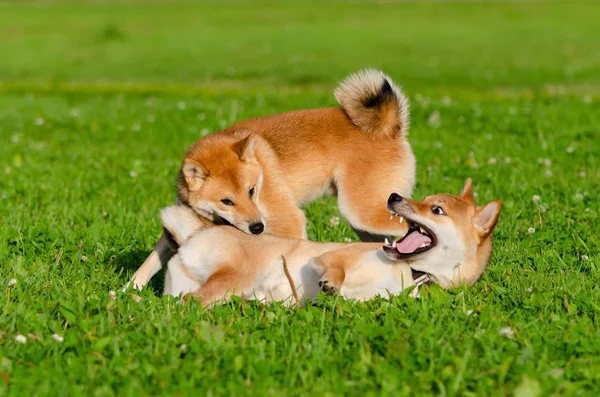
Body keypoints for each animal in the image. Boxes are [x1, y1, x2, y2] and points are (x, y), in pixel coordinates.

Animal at [130, 69, 418, 290]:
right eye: (226, 201)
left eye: (251, 190)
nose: (258, 227)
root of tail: (390, 129)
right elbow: (151, 261)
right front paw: (129, 289)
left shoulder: (288, 220)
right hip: (361, 221)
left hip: (361, 211)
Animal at [159, 179, 502, 306]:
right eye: (426, 200)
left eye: (436, 210)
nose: (394, 196)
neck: (413, 272)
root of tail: (194, 233)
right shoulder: (335, 256)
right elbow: (335, 266)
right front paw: (331, 283)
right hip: (235, 278)